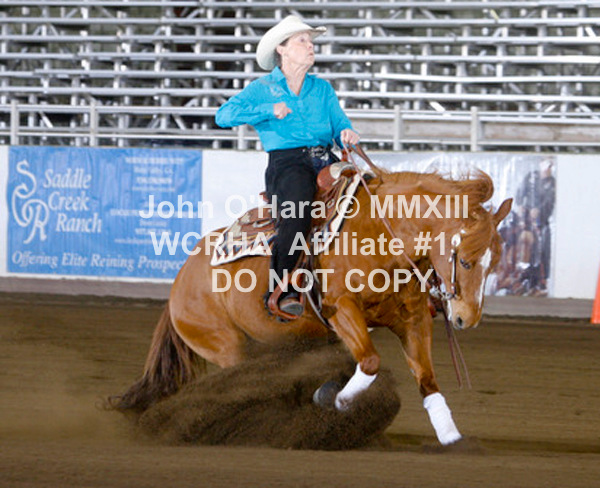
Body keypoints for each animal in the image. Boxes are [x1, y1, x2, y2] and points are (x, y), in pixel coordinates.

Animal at [112, 165, 512, 446]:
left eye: (494, 262)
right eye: (466, 261)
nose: (466, 318)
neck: (381, 234)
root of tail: (181, 279)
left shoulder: (412, 319)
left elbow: (427, 381)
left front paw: (453, 439)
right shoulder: (341, 310)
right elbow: (369, 363)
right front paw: (335, 400)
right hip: (226, 346)